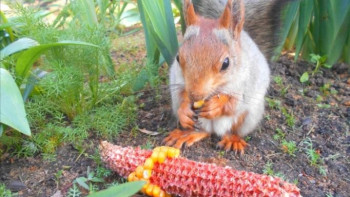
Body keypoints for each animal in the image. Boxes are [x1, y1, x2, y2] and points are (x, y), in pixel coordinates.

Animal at [164, 0, 288, 154]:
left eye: (226, 63)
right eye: (178, 58)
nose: (195, 95)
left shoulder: (245, 84)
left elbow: (233, 102)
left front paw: (216, 105)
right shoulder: (178, 80)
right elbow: (181, 94)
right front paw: (184, 110)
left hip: (249, 117)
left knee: (232, 130)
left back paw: (233, 140)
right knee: (204, 131)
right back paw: (188, 134)